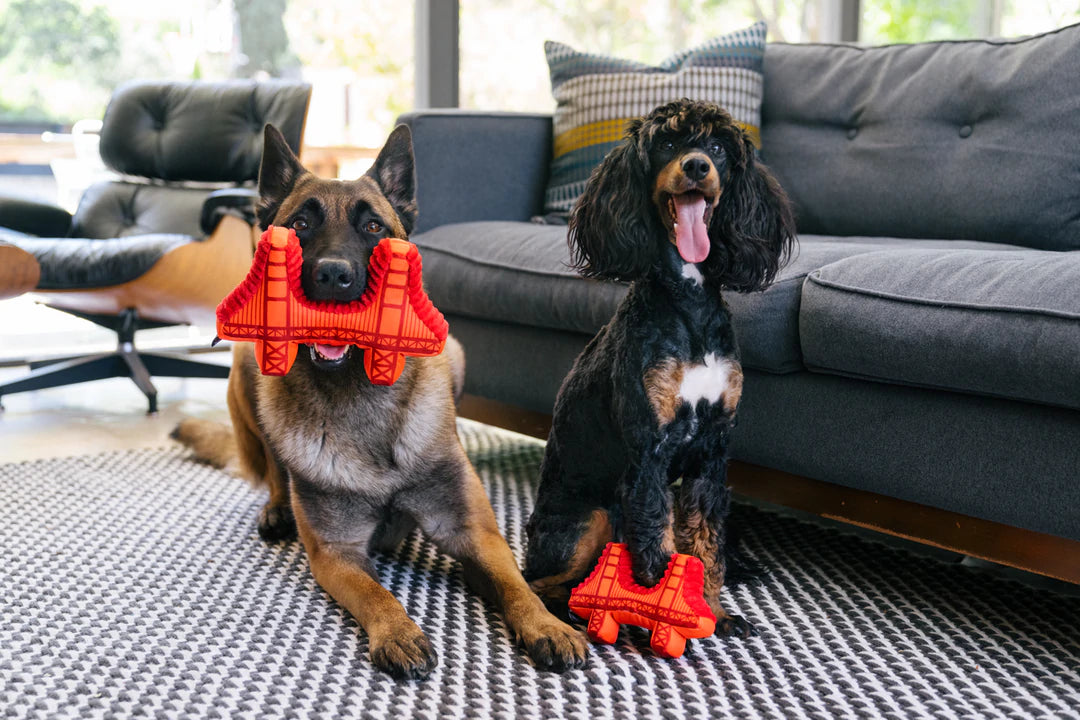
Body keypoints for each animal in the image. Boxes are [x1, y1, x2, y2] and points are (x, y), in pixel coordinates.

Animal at [174, 124, 591, 682]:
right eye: (300, 225)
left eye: (373, 227)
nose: (333, 275)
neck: (361, 398)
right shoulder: (337, 555)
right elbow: (377, 595)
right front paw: (398, 633)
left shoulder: (474, 533)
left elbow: (516, 585)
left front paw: (547, 624)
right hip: (245, 366)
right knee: (273, 468)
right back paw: (276, 509)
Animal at [522, 98, 794, 639]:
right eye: (667, 142)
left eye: (718, 148)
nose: (697, 166)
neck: (689, 305)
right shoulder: (648, 452)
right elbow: (655, 547)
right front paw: (658, 621)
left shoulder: (711, 453)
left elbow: (704, 545)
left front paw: (714, 612)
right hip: (592, 516)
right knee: (540, 583)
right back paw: (577, 613)